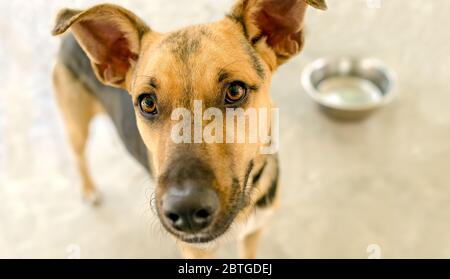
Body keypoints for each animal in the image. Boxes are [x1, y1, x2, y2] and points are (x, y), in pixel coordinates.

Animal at [51, 0, 326, 260]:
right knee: (79, 157)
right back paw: (89, 190)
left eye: (235, 90)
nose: (185, 211)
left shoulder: (254, 232)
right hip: (76, 126)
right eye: (147, 102)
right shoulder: (196, 251)